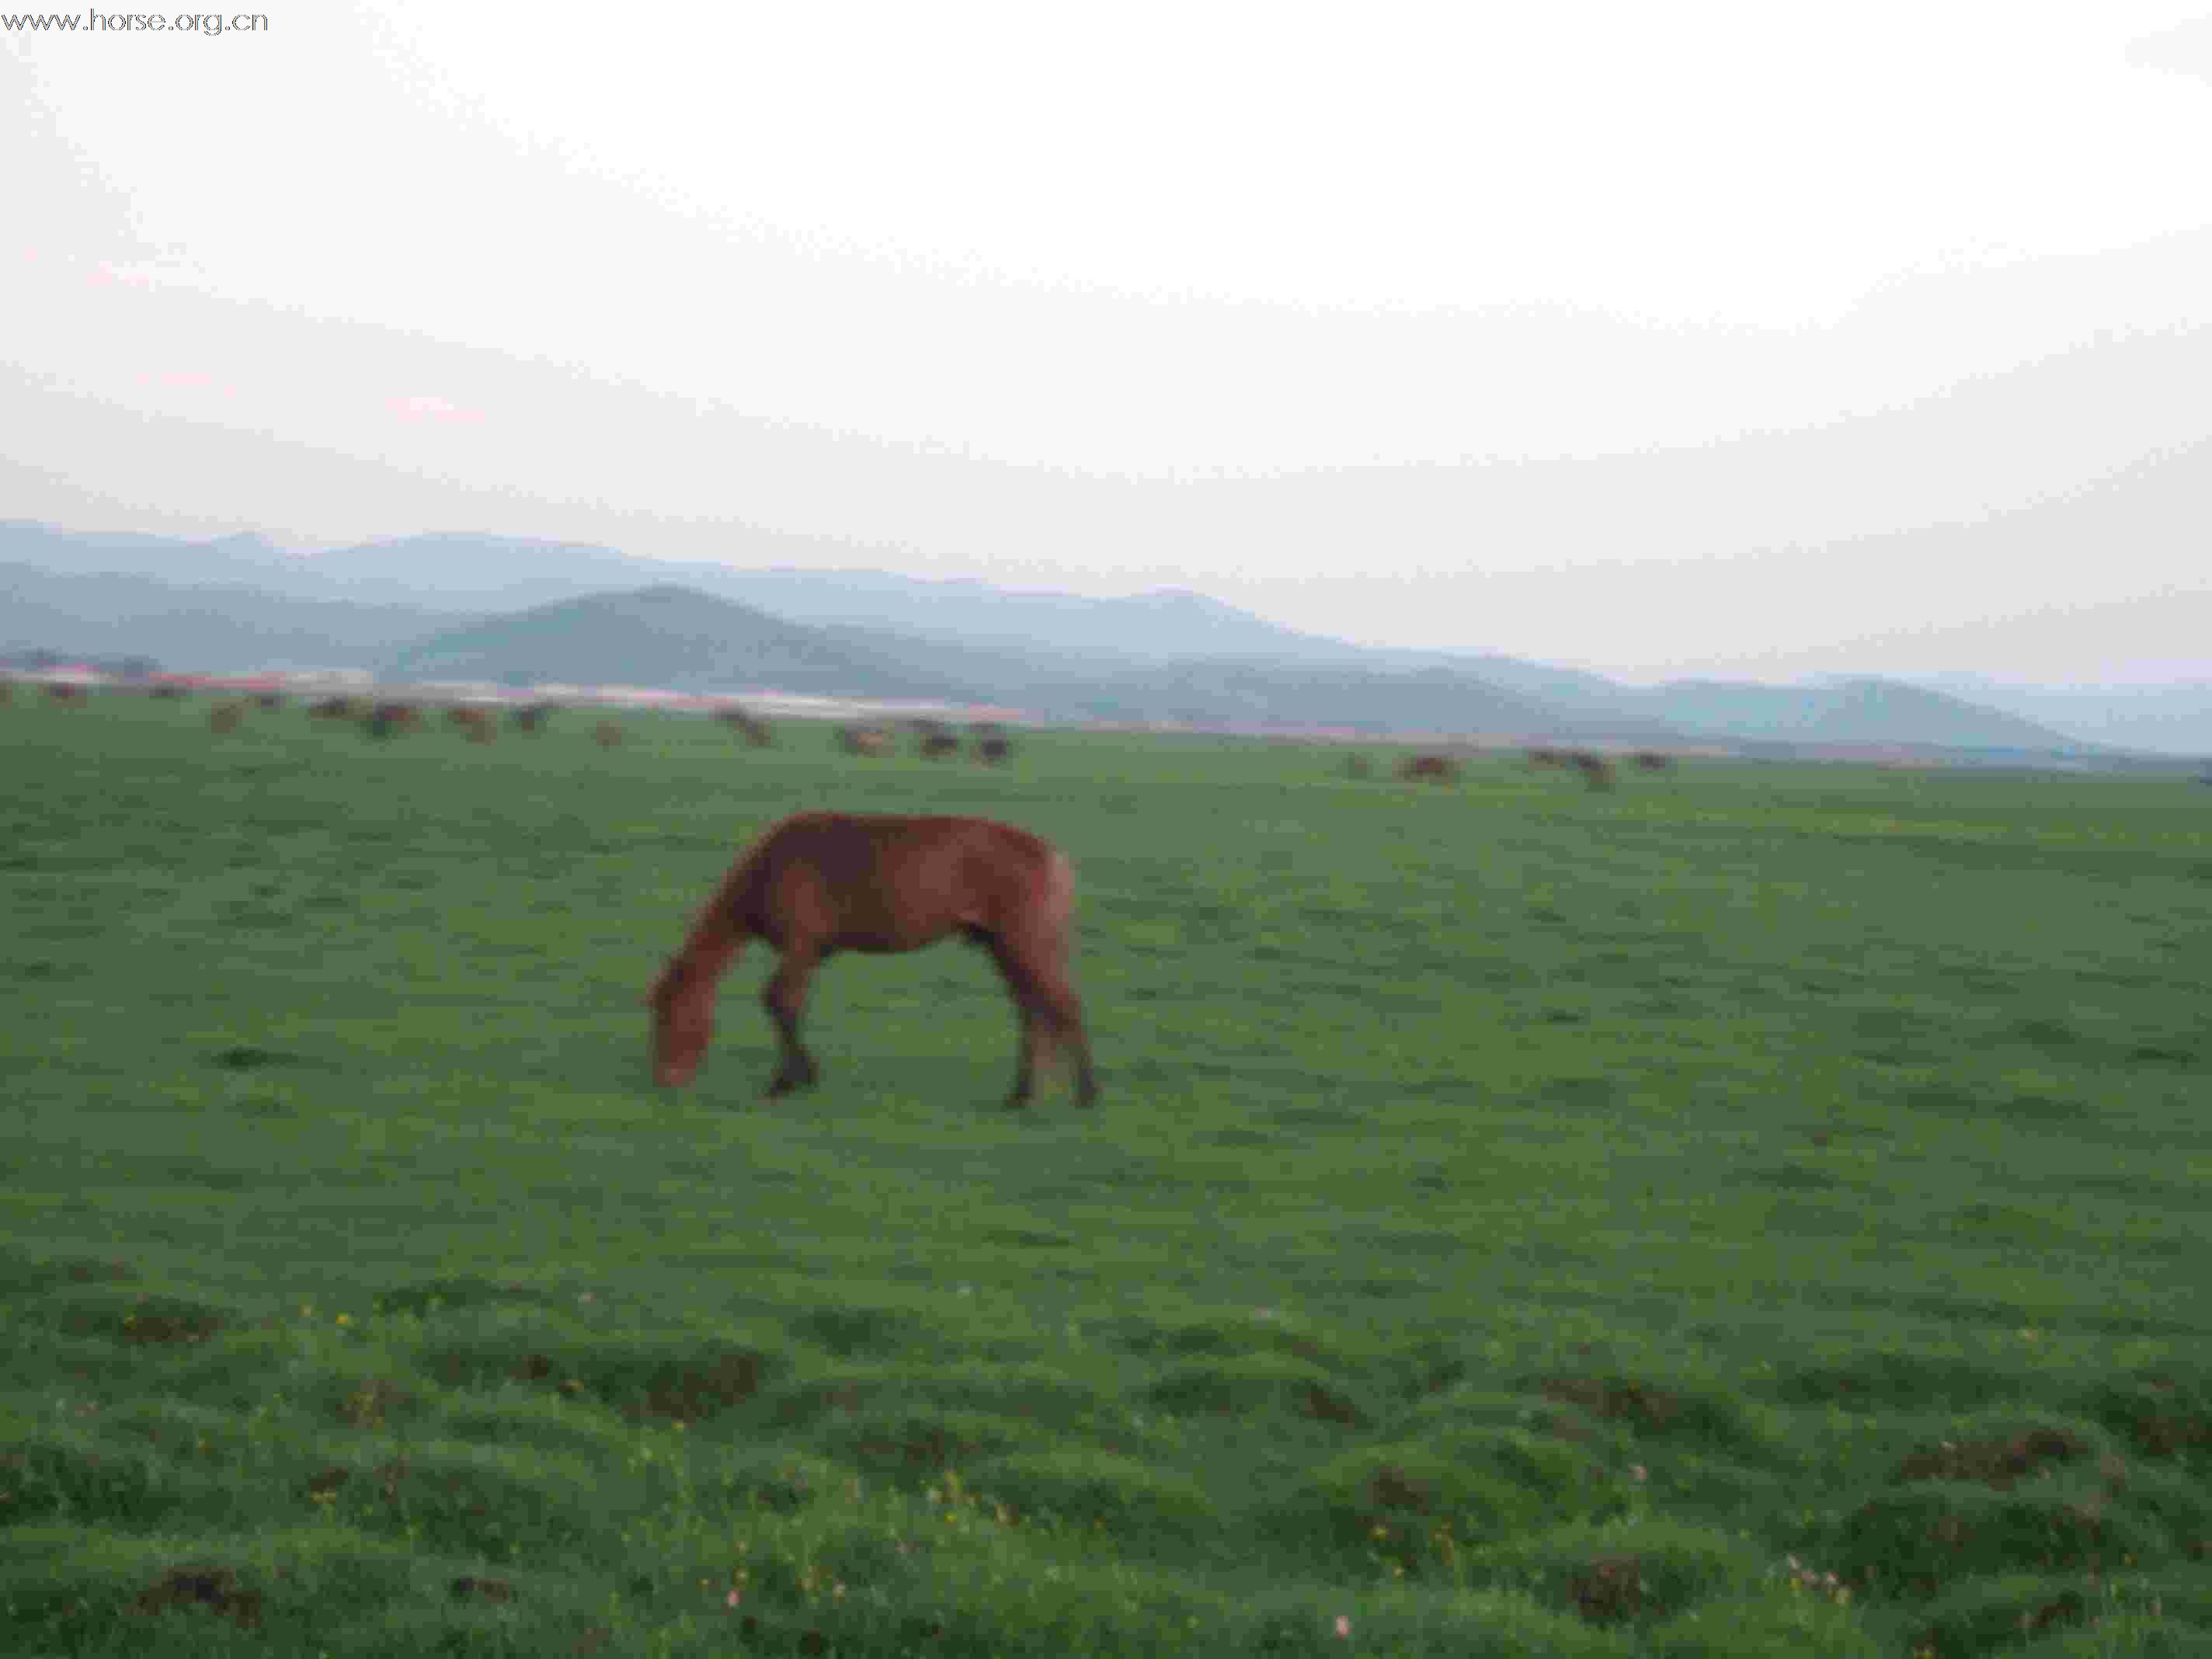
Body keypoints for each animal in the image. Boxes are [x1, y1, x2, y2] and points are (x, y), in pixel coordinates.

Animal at [650, 814, 1101, 1110]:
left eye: (673, 1017)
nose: (666, 1082)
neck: (768, 869)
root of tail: (1052, 856)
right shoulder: (809, 955)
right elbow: (792, 1005)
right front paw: (799, 1076)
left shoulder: (800, 946)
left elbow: (777, 1000)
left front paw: (788, 1081)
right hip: (1002, 947)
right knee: (1030, 1011)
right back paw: (1019, 1095)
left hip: (1025, 943)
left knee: (1065, 1006)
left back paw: (1087, 1093)